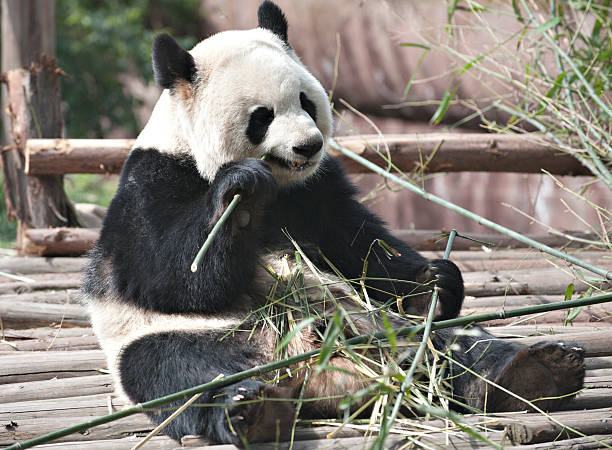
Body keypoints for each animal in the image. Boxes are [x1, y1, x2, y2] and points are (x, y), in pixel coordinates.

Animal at [80, 0, 584, 446]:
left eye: (306, 101)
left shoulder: (317, 188)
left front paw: (433, 281)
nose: (308, 145)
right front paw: (239, 196)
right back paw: (251, 410)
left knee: (454, 345)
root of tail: (309, 372)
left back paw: (532, 371)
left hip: (378, 324)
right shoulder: (152, 182)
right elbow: (167, 274)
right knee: (186, 374)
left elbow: (360, 246)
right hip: (177, 339)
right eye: (262, 117)